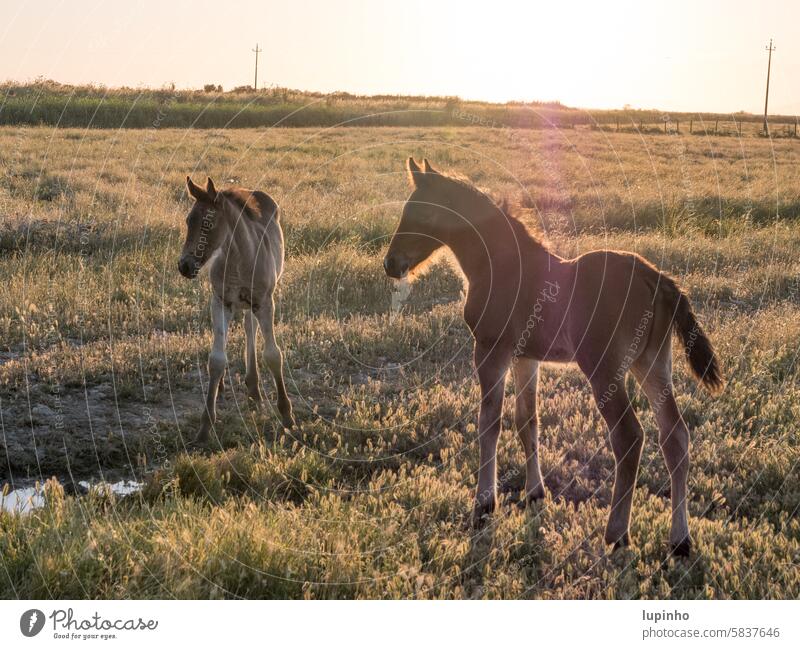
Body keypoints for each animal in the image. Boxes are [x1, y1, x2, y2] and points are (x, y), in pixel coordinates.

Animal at [180, 175, 296, 446]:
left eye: (208, 223)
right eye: (188, 220)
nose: (184, 266)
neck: (239, 258)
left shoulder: (265, 302)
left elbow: (273, 355)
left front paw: (287, 416)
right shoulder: (220, 301)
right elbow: (216, 360)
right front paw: (205, 426)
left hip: (255, 303)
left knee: (249, 327)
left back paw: (254, 389)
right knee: (241, 328)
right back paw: (234, 386)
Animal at [382, 158, 724, 552]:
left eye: (420, 213)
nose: (390, 263)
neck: (502, 266)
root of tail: (657, 280)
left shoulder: (490, 350)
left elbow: (490, 423)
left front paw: (483, 505)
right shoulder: (525, 357)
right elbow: (527, 420)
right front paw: (535, 493)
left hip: (604, 368)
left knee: (629, 437)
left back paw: (617, 533)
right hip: (652, 363)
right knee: (675, 437)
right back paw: (680, 540)